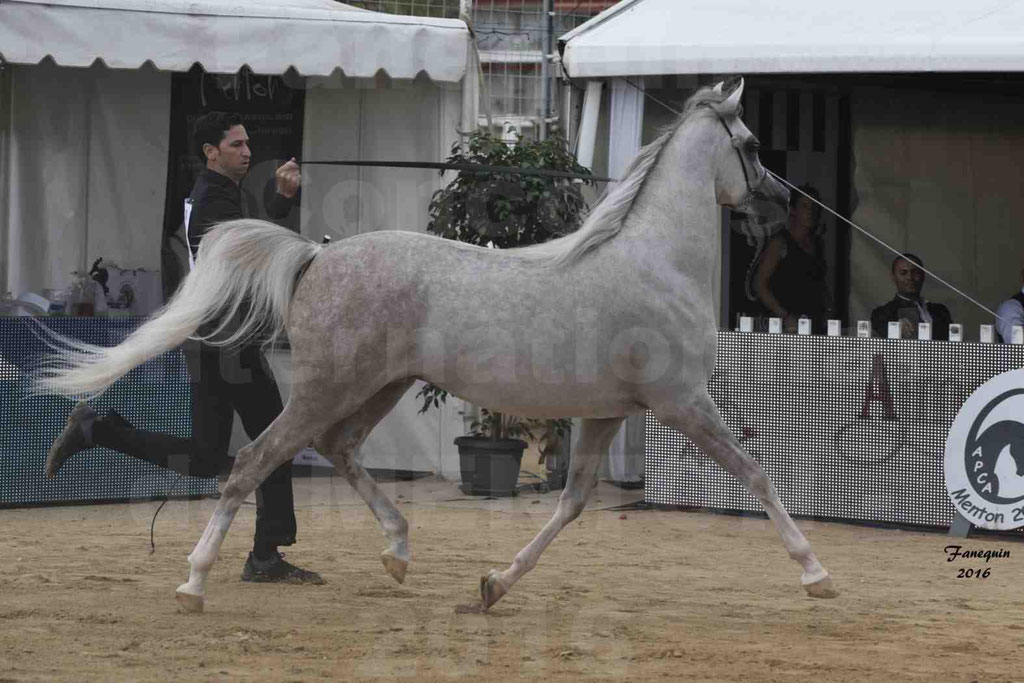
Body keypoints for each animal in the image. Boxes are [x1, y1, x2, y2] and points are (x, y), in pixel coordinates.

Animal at [39, 80, 839, 614]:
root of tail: (314, 255)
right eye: (753, 146)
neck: (653, 261)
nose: (782, 202)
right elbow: (756, 475)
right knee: (250, 461)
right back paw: (194, 579)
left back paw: (396, 552)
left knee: (335, 450)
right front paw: (816, 573)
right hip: (325, 388)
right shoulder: (681, 403)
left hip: (379, 386)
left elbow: (572, 504)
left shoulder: (609, 413)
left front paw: (493, 585)